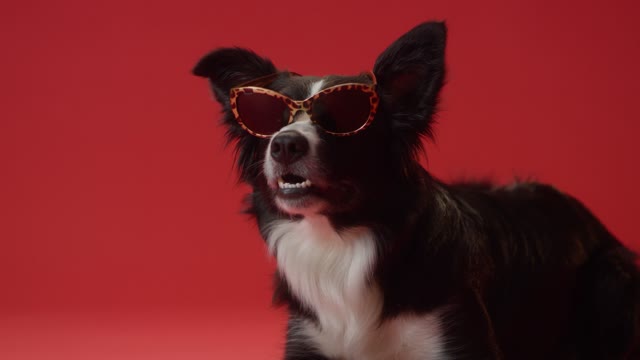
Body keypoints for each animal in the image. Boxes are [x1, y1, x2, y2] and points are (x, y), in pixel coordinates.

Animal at [192, 22, 636, 360]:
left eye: (345, 118)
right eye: (269, 120)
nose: (284, 144)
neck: (341, 242)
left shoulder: (457, 336)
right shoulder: (309, 340)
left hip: (612, 275)